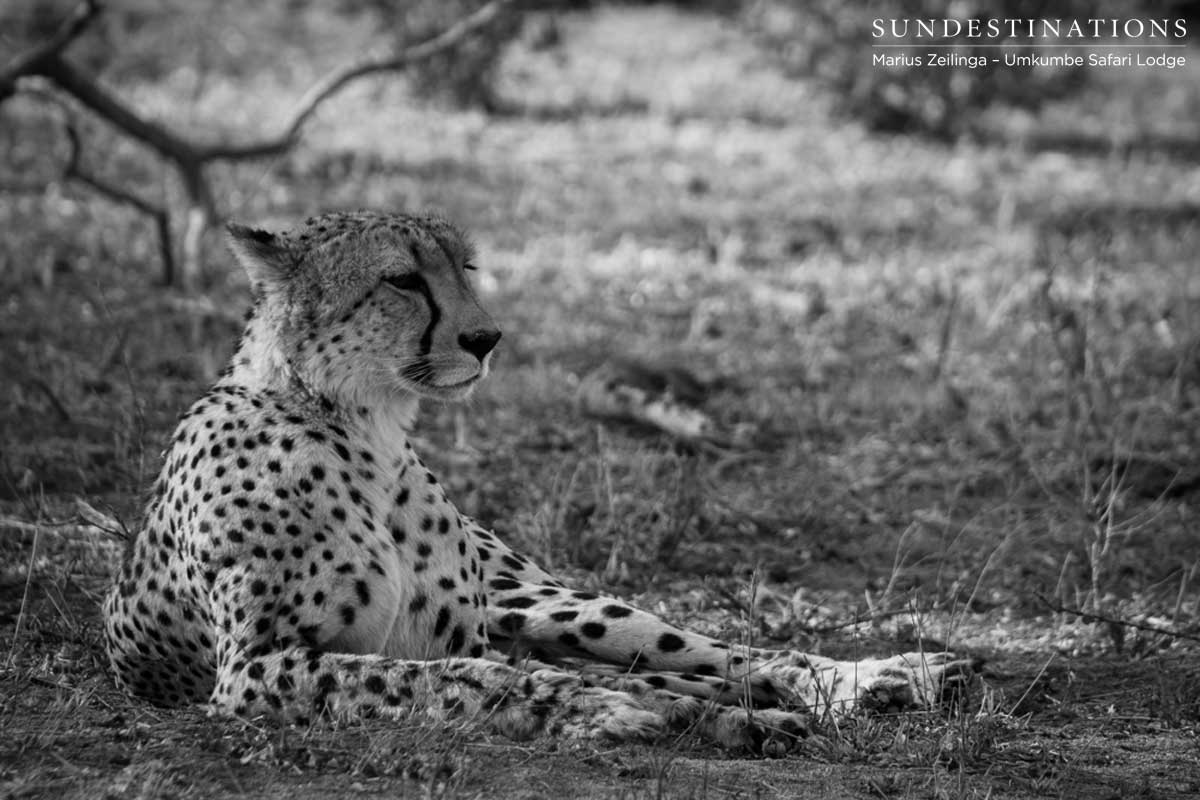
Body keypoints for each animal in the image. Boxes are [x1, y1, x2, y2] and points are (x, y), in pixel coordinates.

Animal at [102, 210, 973, 753]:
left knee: (715, 653)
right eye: (402, 280)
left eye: (465, 267)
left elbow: (477, 671)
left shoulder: (446, 634)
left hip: (545, 602)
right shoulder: (256, 667)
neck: (370, 429)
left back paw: (877, 677)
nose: (487, 338)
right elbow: (463, 678)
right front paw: (612, 714)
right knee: (666, 672)